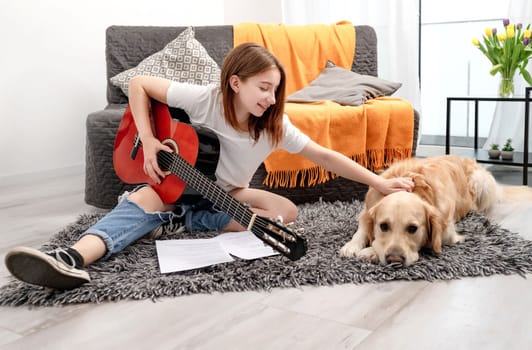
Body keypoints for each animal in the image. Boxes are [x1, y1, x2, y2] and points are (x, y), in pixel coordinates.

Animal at [336, 154, 528, 266]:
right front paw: (351, 246)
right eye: (383, 226)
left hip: (480, 181)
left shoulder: (448, 232)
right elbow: (361, 231)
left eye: (412, 228)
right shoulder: (366, 210)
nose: (394, 259)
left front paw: (370, 252)